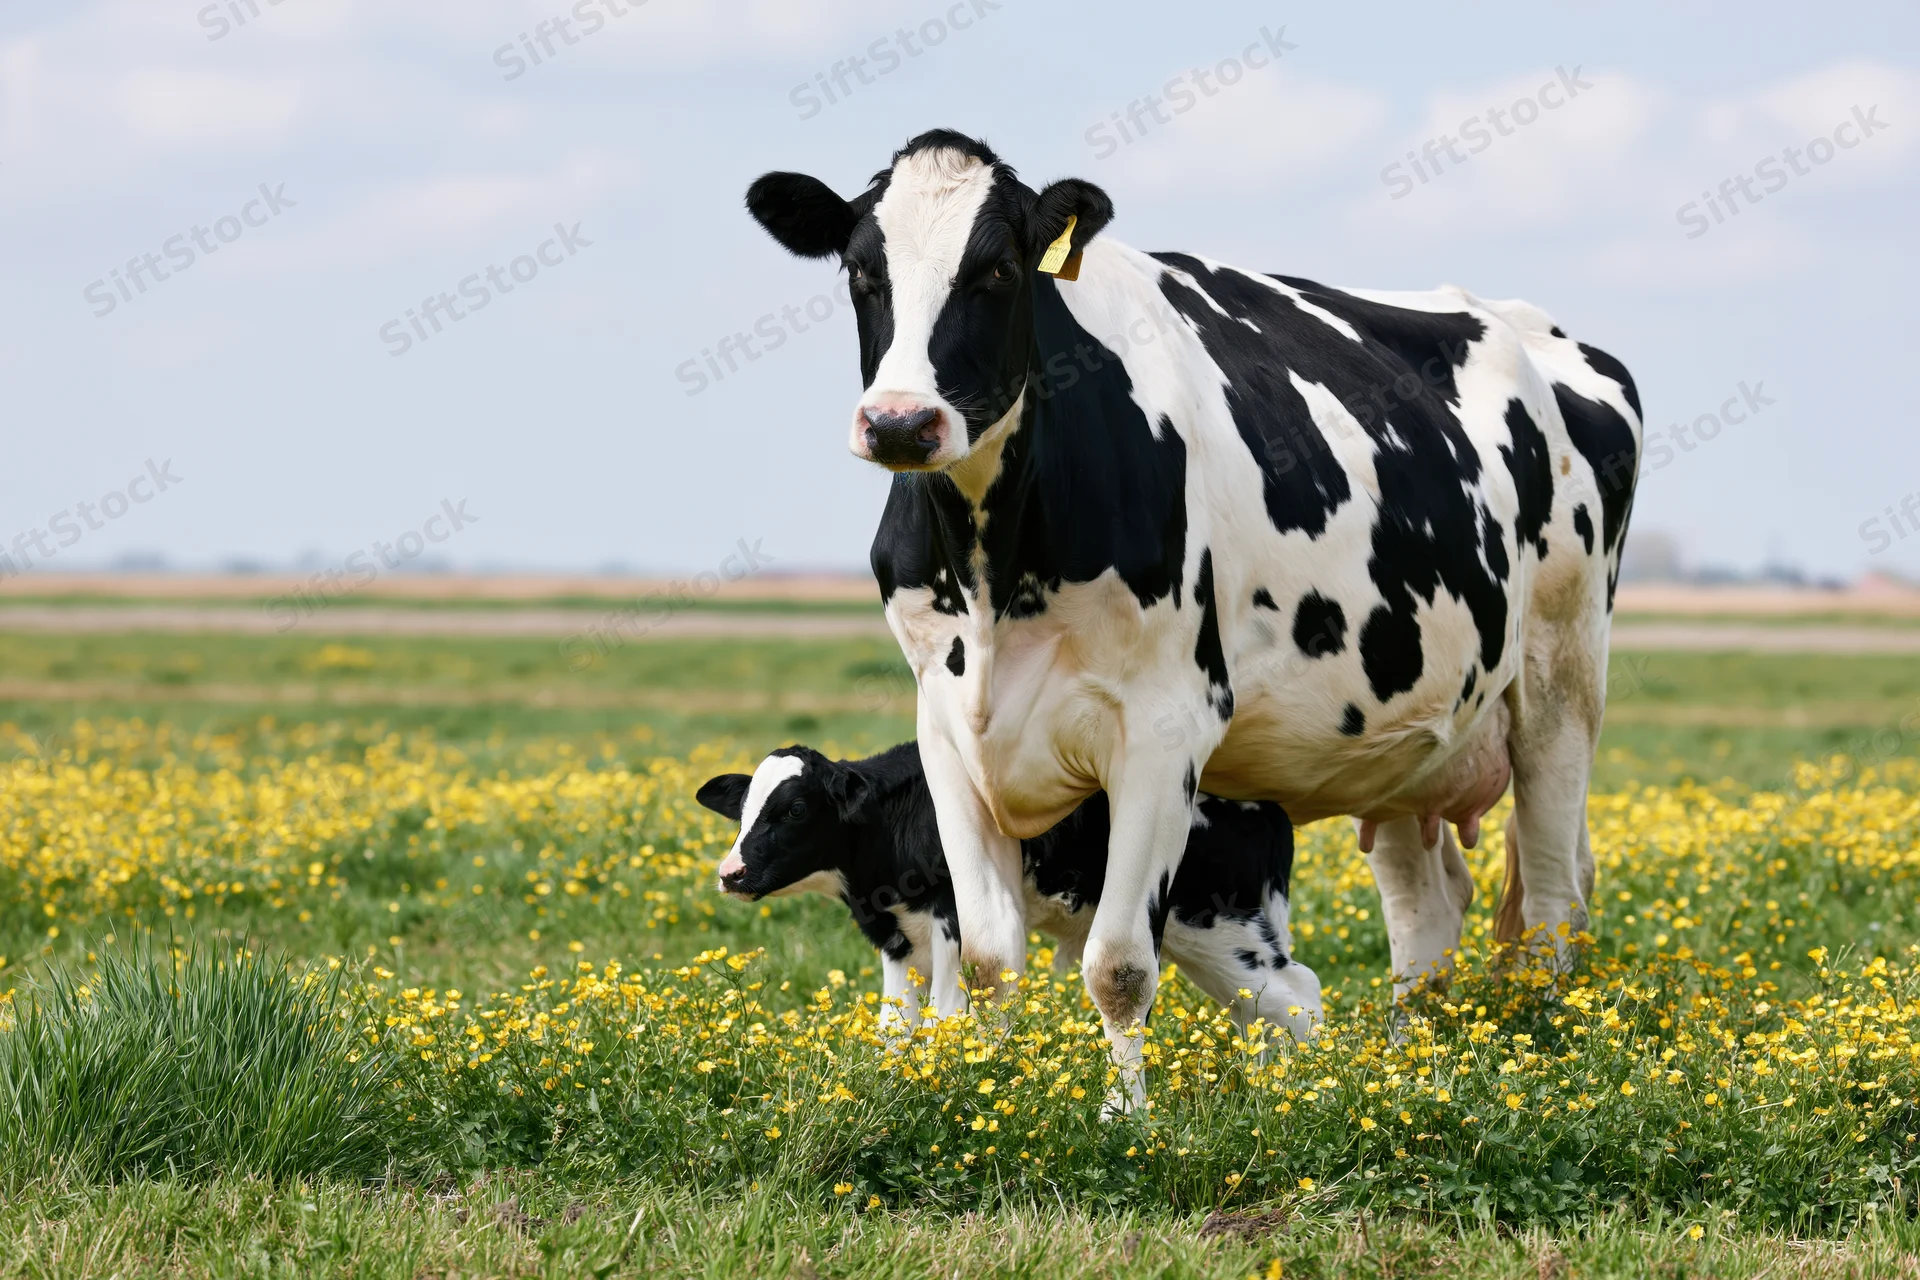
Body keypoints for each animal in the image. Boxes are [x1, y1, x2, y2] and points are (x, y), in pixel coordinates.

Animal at [696, 743, 1320, 1040]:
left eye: (796, 808)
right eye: (744, 806)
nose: (731, 873)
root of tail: (1267, 804)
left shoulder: (952, 919)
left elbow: (947, 1016)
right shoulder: (898, 937)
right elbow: (895, 1030)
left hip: (1223, 925)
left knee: (1300, 996)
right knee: (1261, 1009)